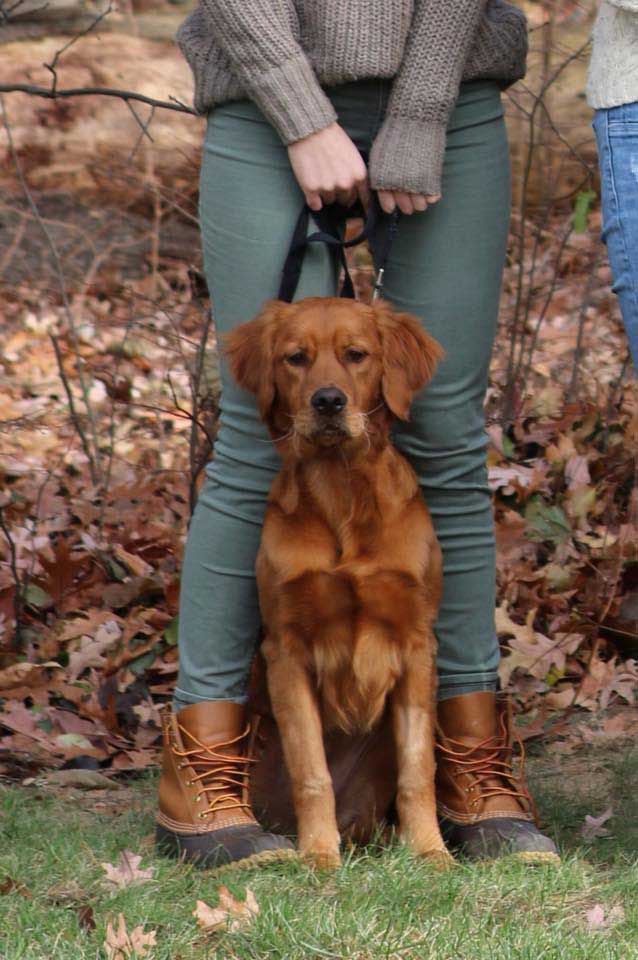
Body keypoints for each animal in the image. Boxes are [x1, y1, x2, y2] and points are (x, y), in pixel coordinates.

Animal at [225, 296, 450, 868]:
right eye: (295, 358)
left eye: (356, 354)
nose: (328, 401)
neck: (342, 491)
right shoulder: (286, 650)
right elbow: (312, 772)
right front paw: (319, 856)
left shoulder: (417, 644)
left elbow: (419, 769)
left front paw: (431, 851)